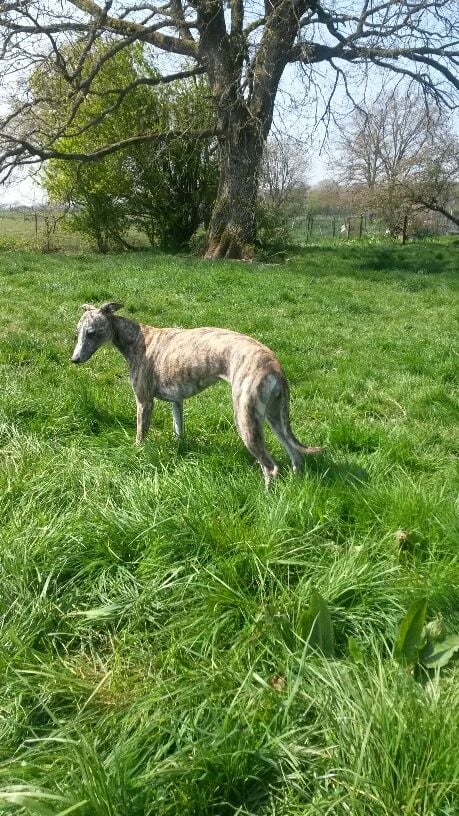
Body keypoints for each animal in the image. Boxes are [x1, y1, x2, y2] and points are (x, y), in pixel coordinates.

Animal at [73, 304, 324, 484]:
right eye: (77, 333)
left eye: (92, 333)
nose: (74, 359)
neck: (139, 338)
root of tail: (274, 366)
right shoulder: (176, 401)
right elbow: (178, 430)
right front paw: (178, 449)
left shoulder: (144, 402)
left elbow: (140, 435)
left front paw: (137, 453)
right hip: (274, 417)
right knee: (296, 455)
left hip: (245, 418)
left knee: (271, 468)